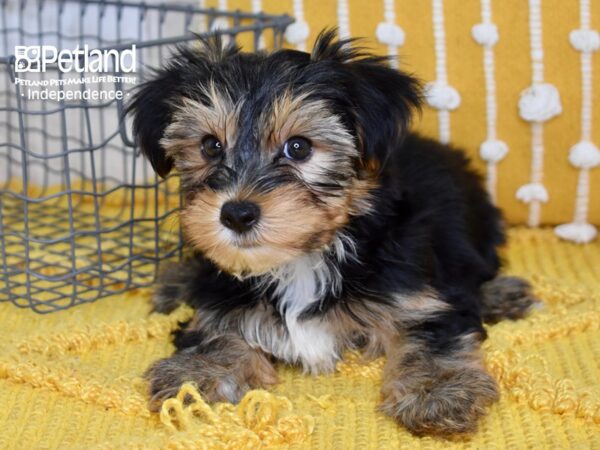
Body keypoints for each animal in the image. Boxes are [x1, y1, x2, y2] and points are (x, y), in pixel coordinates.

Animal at [129, 29, 536, 436]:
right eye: (210, 146)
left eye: (298, 147)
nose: (237, 214)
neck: (301, 259)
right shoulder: (223, 298)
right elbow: (215, 327)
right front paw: (199, 370)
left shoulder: (416, 293)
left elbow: (431, 331)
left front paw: (436, 391)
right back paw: (177, 282)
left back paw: (502, 294)